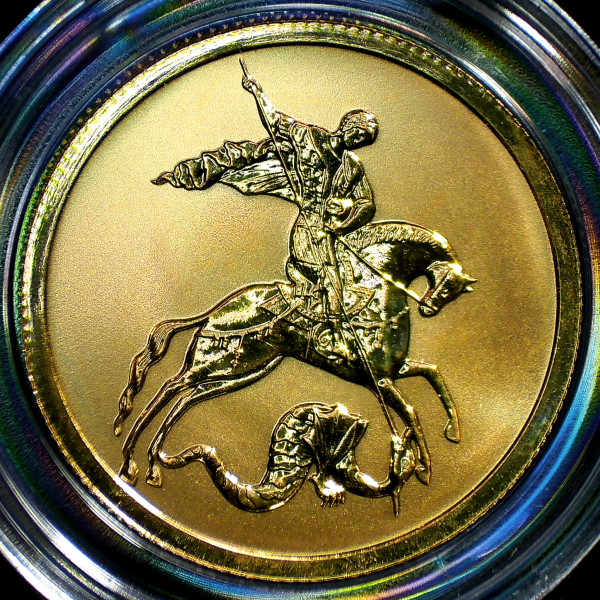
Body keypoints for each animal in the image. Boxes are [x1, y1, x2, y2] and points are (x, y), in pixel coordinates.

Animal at [113, 220, 475, 489]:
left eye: (456, 290)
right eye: (448, 283)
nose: (429, 309)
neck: (374, 288)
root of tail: (216, 311)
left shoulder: (393, 370)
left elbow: (433, 373)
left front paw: (452, 431)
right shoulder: (381, 380)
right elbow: (412, 412)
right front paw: (425, 468)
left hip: (244, 370)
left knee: (187, 398)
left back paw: (151, 463)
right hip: (213, 362)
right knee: (170, 388)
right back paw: (130, 457)